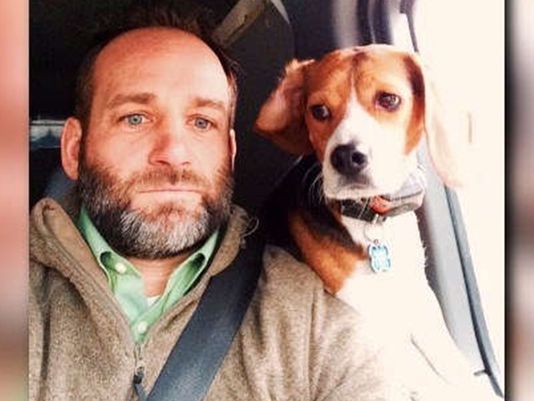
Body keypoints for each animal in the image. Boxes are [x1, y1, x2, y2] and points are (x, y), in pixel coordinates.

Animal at [254, 45, 497, 400]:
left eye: (389, 100)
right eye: (319, 110)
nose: (345, 157)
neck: (373, 222)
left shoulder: (417, 293)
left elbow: (452, 363)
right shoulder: (372, 320)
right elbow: (426, 377)